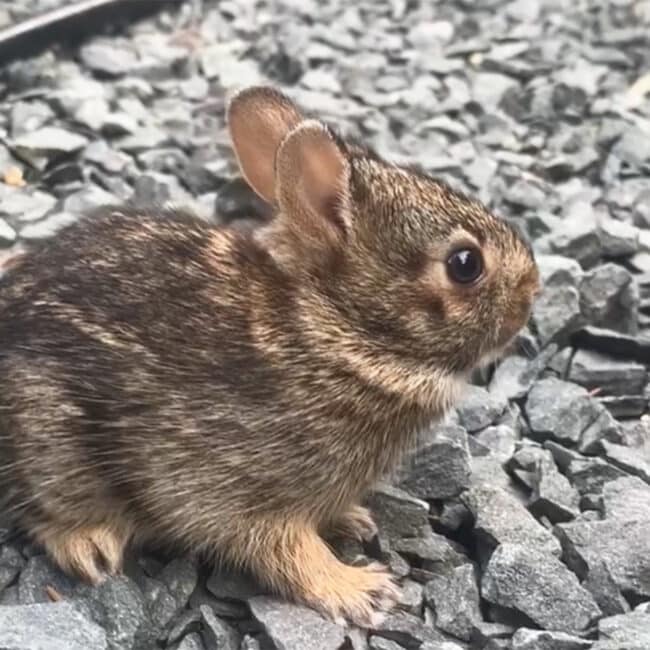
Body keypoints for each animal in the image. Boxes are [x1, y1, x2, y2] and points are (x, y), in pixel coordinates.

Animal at [0, 85, 536, 624]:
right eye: (465, 264)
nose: (532, 291)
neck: (338, 329)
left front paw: (353, 521)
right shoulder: (240, 489)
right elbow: (286, 550)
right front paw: (359, 589)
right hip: (52, 441)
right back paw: (90, 546)